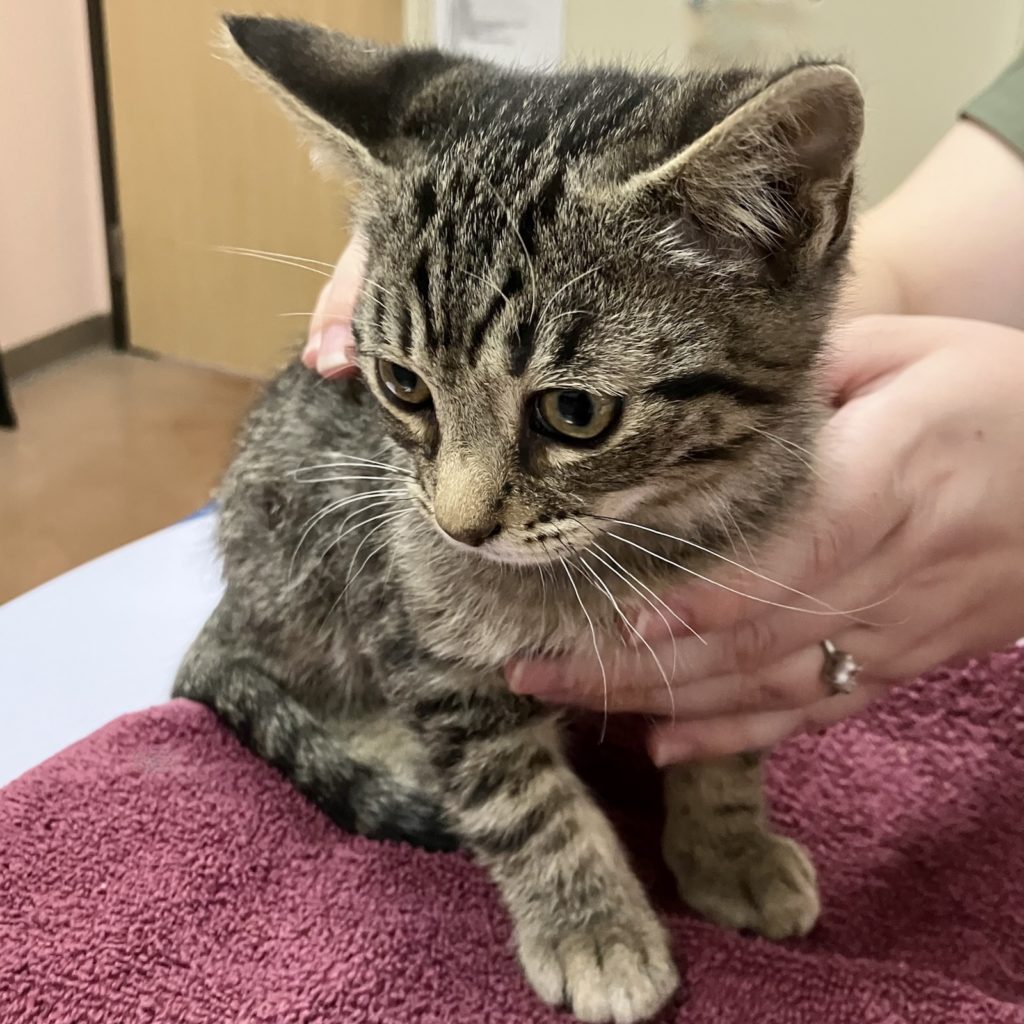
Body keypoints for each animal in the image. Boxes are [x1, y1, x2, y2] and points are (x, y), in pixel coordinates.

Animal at [174, 16, 862, 1023]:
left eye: (573, 413)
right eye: (401, 385)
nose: (458, 528)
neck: (638, 543)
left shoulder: (749, 624)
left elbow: (726, 750)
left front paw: (729, 845)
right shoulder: (424, 640)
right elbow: (517, 794)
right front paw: (593, 926)